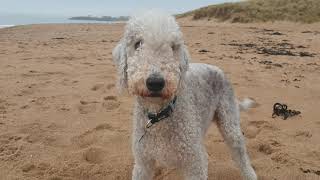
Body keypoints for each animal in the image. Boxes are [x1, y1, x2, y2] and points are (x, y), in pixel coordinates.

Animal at [112, 11, 258, 180]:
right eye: (138, 44)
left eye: (173, 47)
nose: (155, 82)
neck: (159, 115)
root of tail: (219, 69)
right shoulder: (143, 163)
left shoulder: (194, 164)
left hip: (229, 121)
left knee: (240, 152)